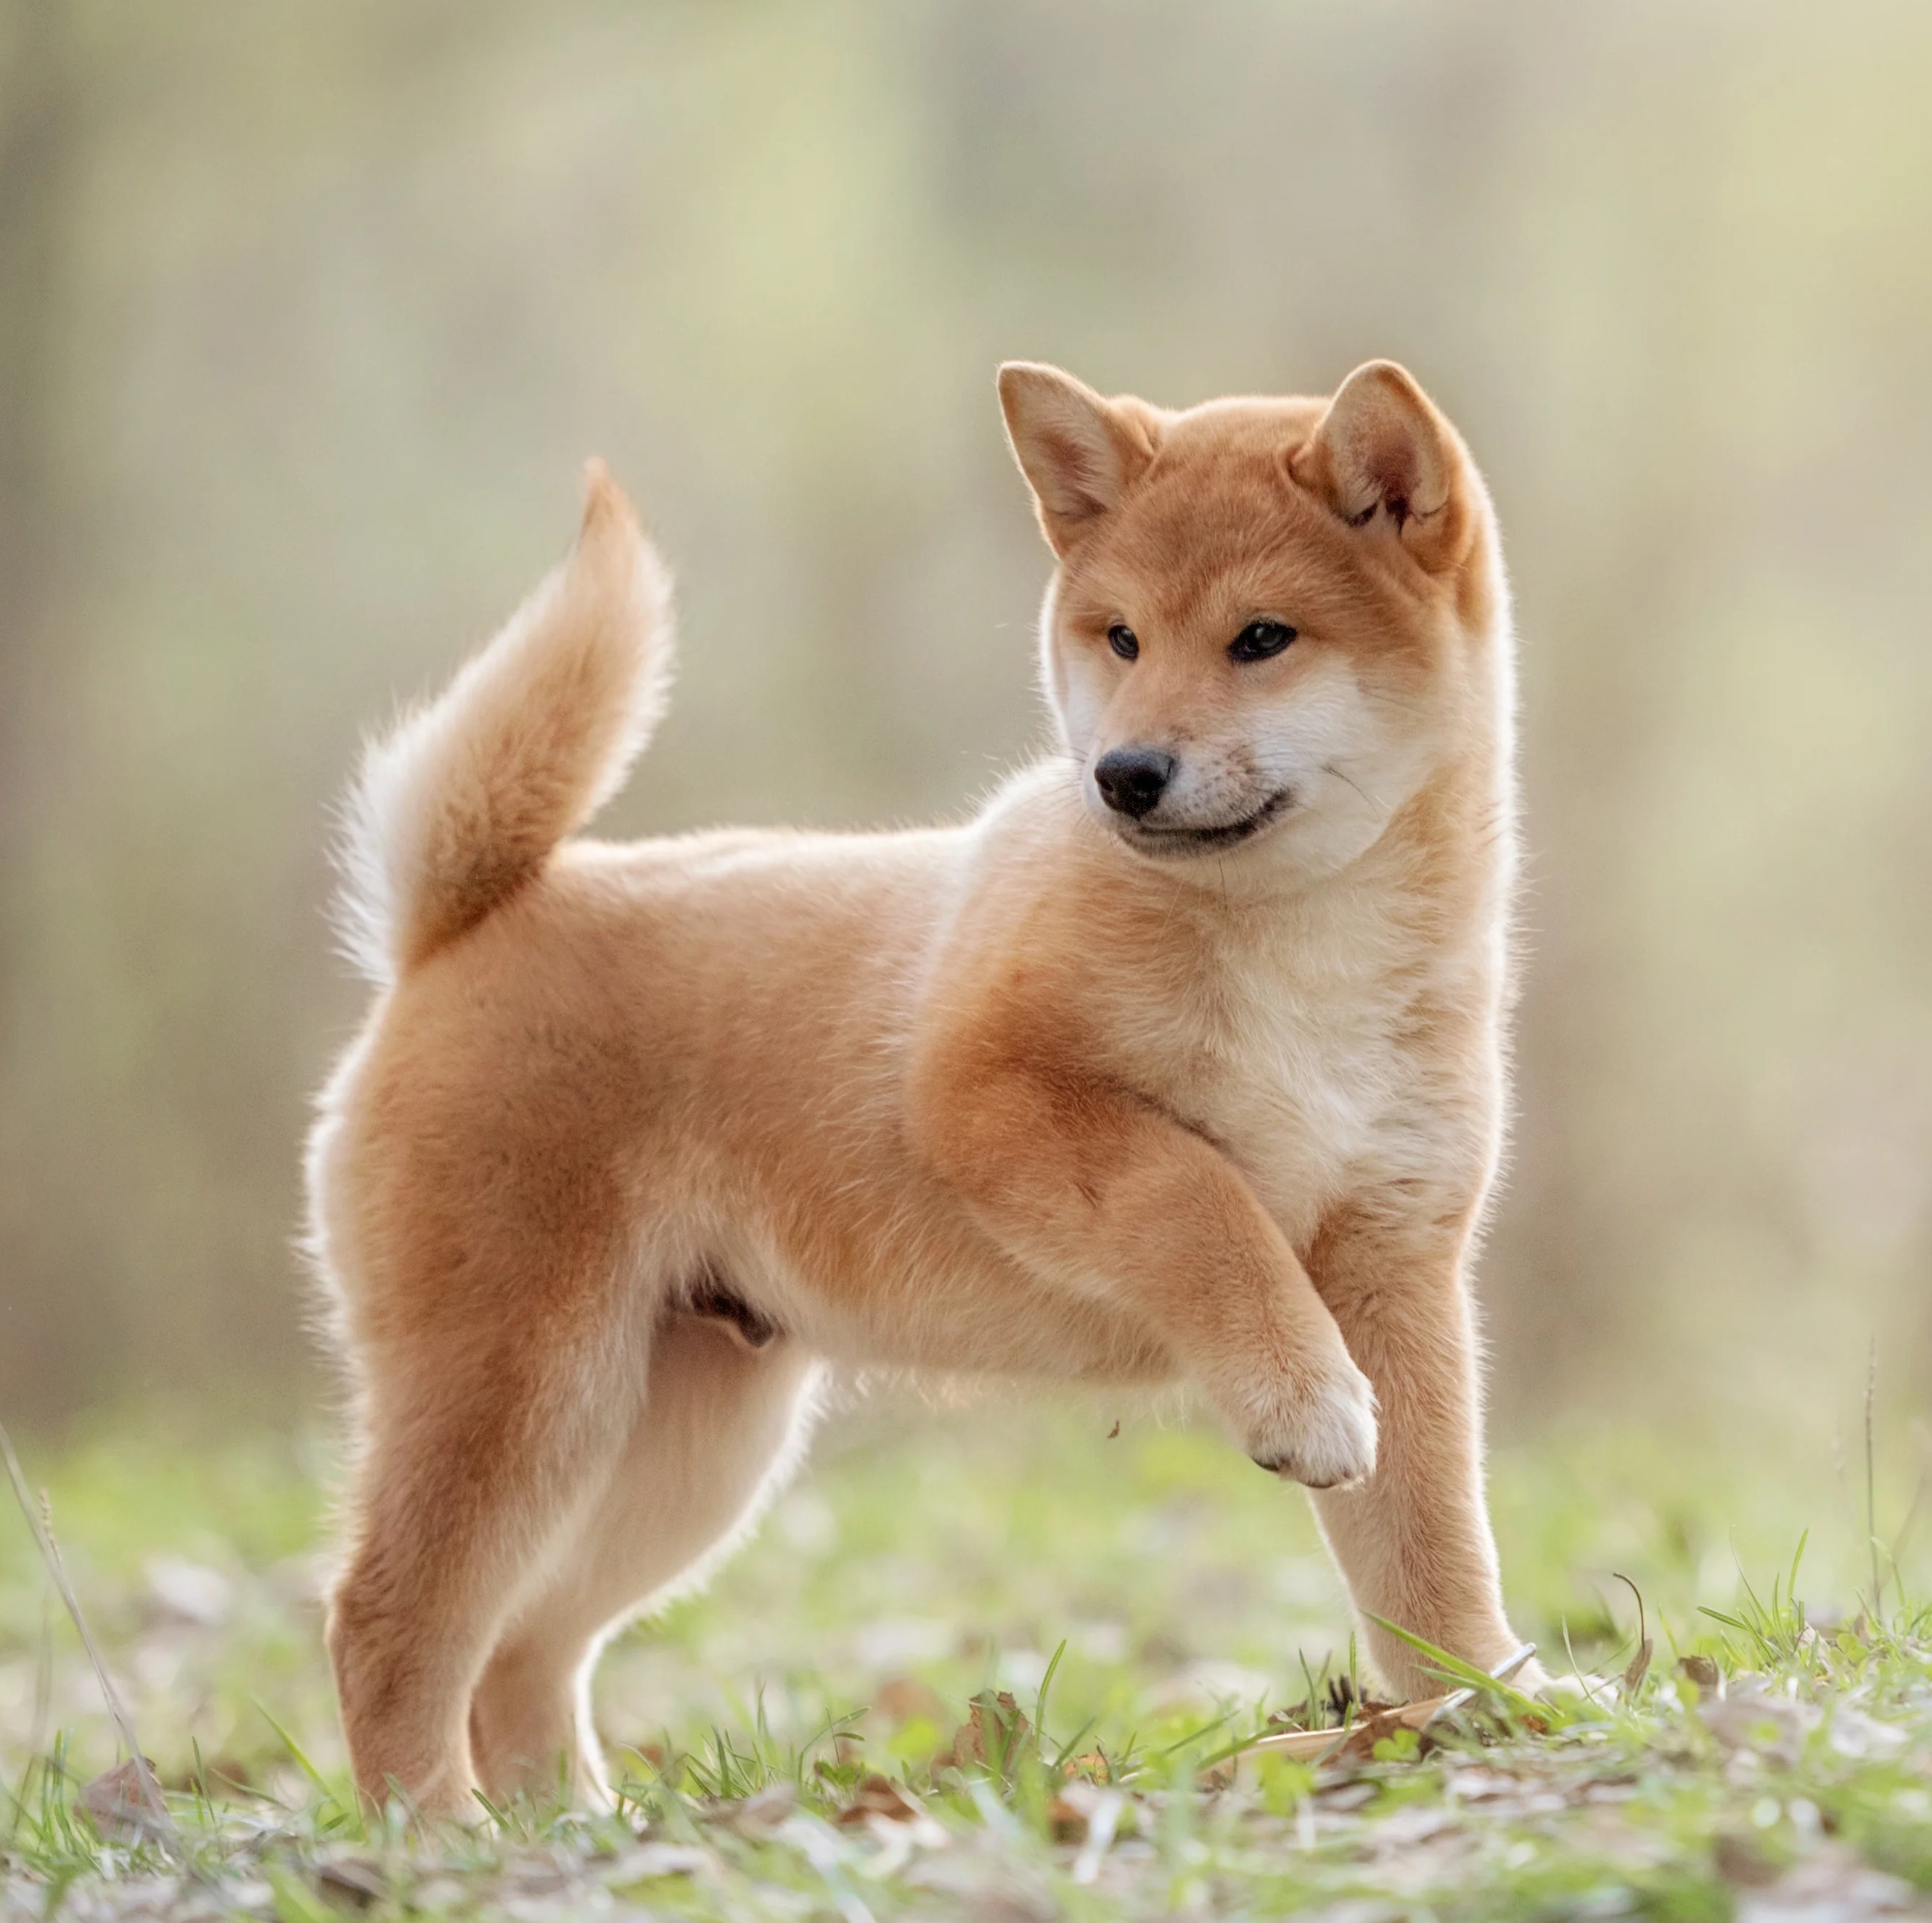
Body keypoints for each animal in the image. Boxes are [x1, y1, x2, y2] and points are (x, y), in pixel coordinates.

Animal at [301, 361, 1537, 1816]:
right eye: (1120, 639)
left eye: (1262, 638)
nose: (1123, 775)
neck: (1299, 943)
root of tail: (456, 928)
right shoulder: (985, 1092)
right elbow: (1196, 1195)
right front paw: (1301, 1397)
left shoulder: (1395, 1260)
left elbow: (1428, 1549)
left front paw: (1486, 1700)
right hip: (518, 1388)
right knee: (388, 1620)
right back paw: (436, 1833)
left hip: (675, 1445)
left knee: (520, 1649)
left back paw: (572, 1828)